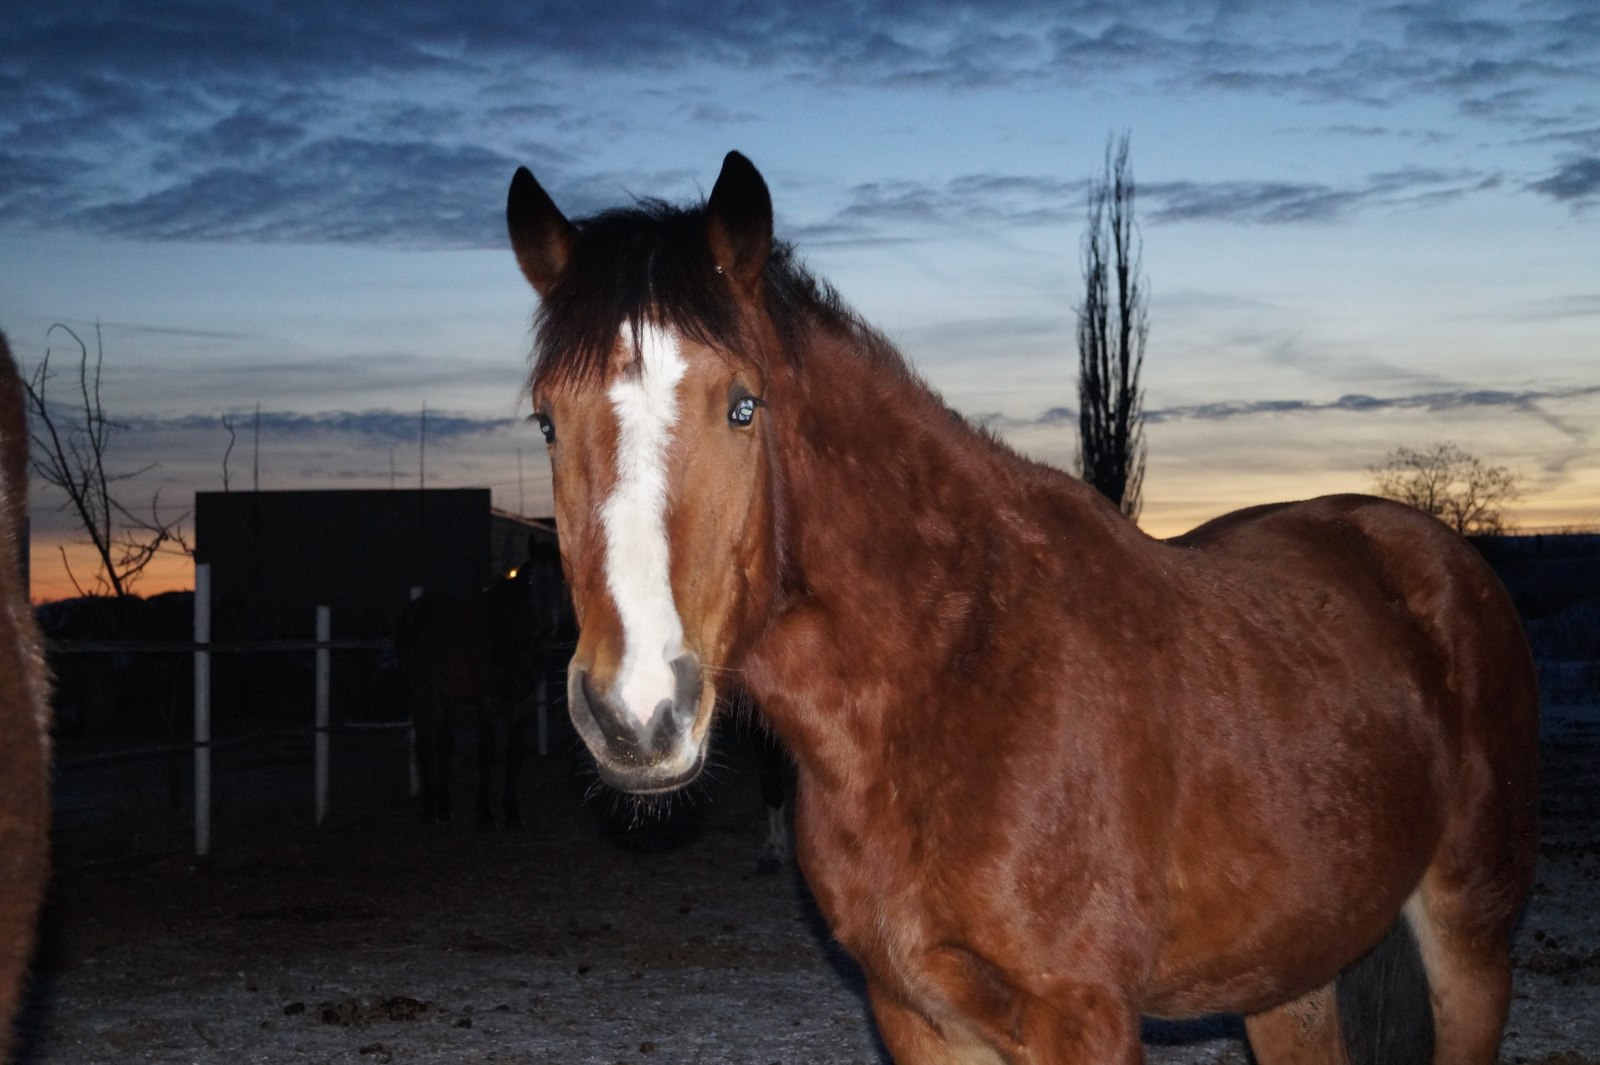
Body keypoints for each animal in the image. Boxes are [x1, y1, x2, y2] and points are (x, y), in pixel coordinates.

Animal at [395, 540, 566, 831]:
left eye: (560, 579)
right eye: (531, 580)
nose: (546, 627)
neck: (508, 635)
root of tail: (411, 610)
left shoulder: (521, 703)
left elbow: (514, 755)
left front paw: (512, 814)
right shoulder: (488, 702)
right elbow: (487, 753)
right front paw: (485, 814)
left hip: (451, 700)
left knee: (444, 746)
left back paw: (445, 809)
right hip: (420, 694)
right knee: (425, 745)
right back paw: (429, 811)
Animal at [508, 151, 1536, 1061]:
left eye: (743, 406)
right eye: (547, 421)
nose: (636, 711)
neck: (951, 677)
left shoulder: (1085, 1019)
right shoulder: (917, 1016)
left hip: (1471, 934)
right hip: (1292, 975)